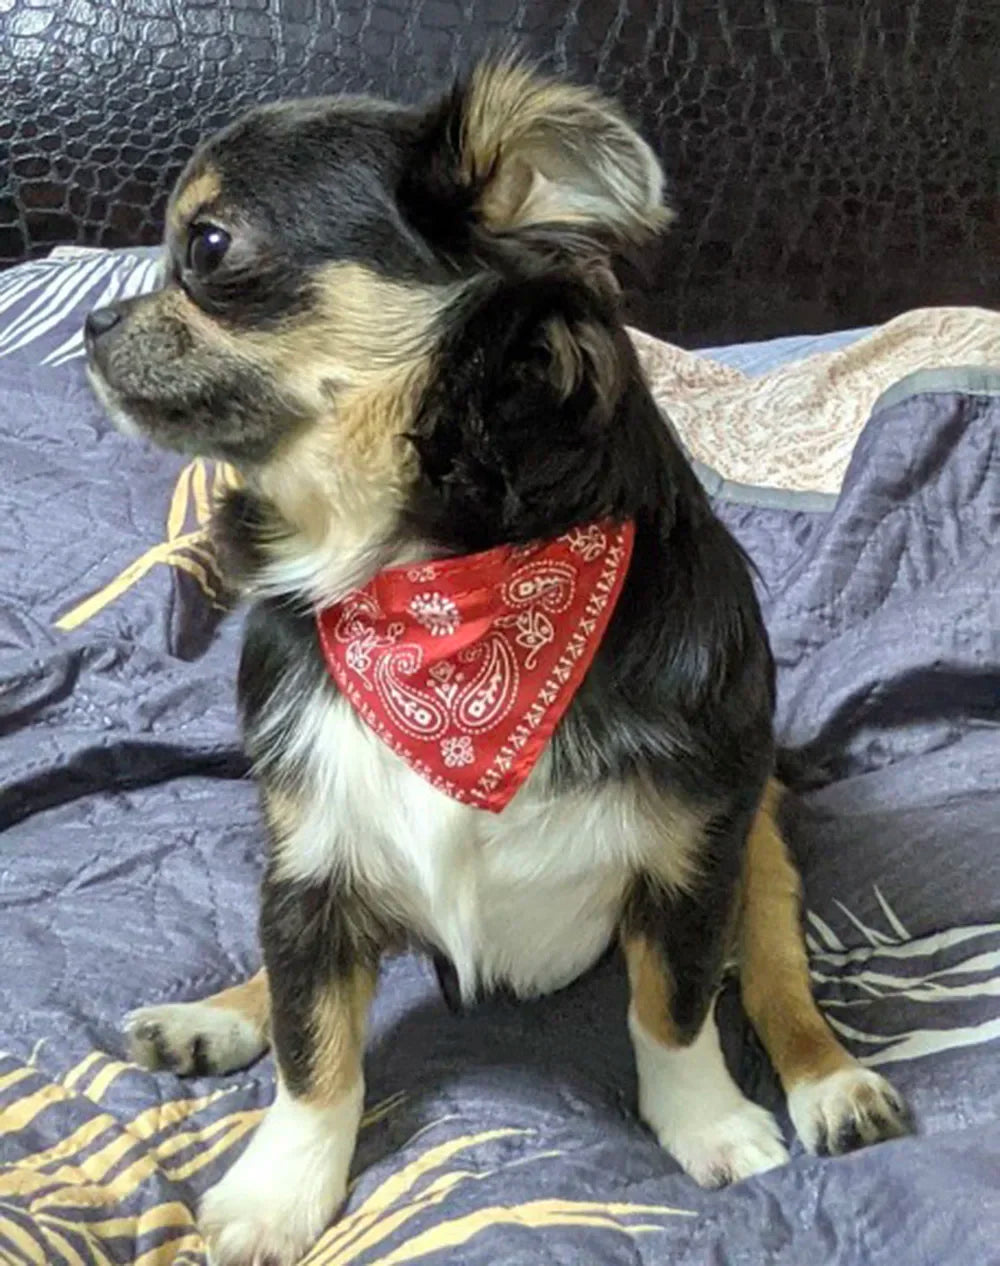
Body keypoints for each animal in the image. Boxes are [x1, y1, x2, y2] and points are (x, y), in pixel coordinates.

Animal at [87, 59, 906, 1266]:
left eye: (210, 246)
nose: (91, 319)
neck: (427, 593)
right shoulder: (314, 859)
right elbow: (314, 1048)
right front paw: (280, 1191)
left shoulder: (692, 855)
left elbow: (672, 1010)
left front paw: (707, 1126)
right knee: (279, 979)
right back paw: (214, 1018)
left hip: (759, 841)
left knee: (771, 973)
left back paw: (829, 1080)